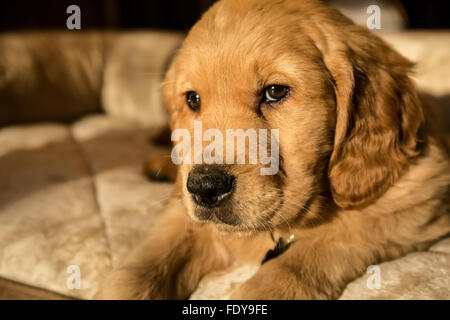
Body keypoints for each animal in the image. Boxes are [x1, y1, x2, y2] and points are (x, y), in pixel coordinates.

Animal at [95, 0, 450, 300]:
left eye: (275, 92)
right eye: (193, 100)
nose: (205, 187)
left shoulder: (414, 204)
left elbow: (312, 252)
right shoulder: (181, 214)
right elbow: (139, 268)